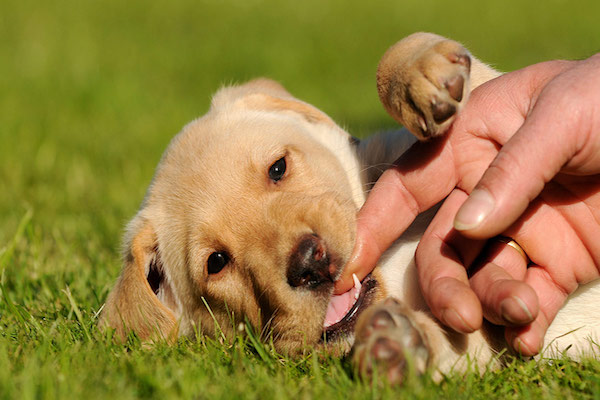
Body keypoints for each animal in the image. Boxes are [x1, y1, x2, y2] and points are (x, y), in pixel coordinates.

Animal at [102, 32, 600, 382]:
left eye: (278, 168)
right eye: (217, 262)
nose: (309, 264)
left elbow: (457, 79)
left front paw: (422, 72)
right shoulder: (493, 347)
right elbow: (454, 346)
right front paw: (397, 344)